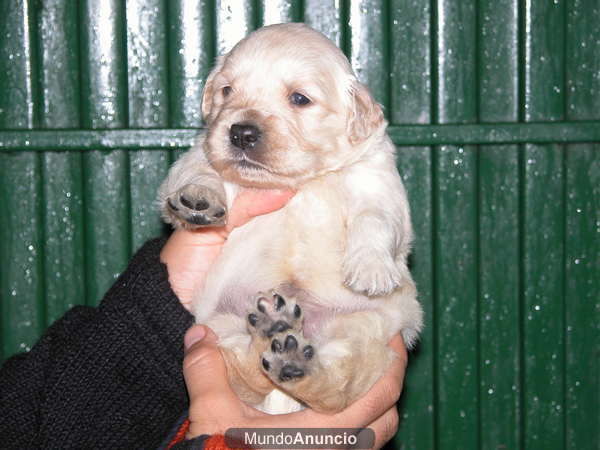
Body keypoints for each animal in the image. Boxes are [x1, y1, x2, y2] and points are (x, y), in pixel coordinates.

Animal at [159, 22, 422, 414]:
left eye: (299, 98)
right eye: (227, 90)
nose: (241, 132)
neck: (303, 181)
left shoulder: (378, 182)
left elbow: (375, 220)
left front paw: (371, 269)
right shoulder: (197, 158)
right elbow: (198, 171)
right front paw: (199, 199)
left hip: (362, 326)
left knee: (334, 388)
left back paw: (292, 357)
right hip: (218, 327)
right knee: (246, 372)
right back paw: (273, 329)